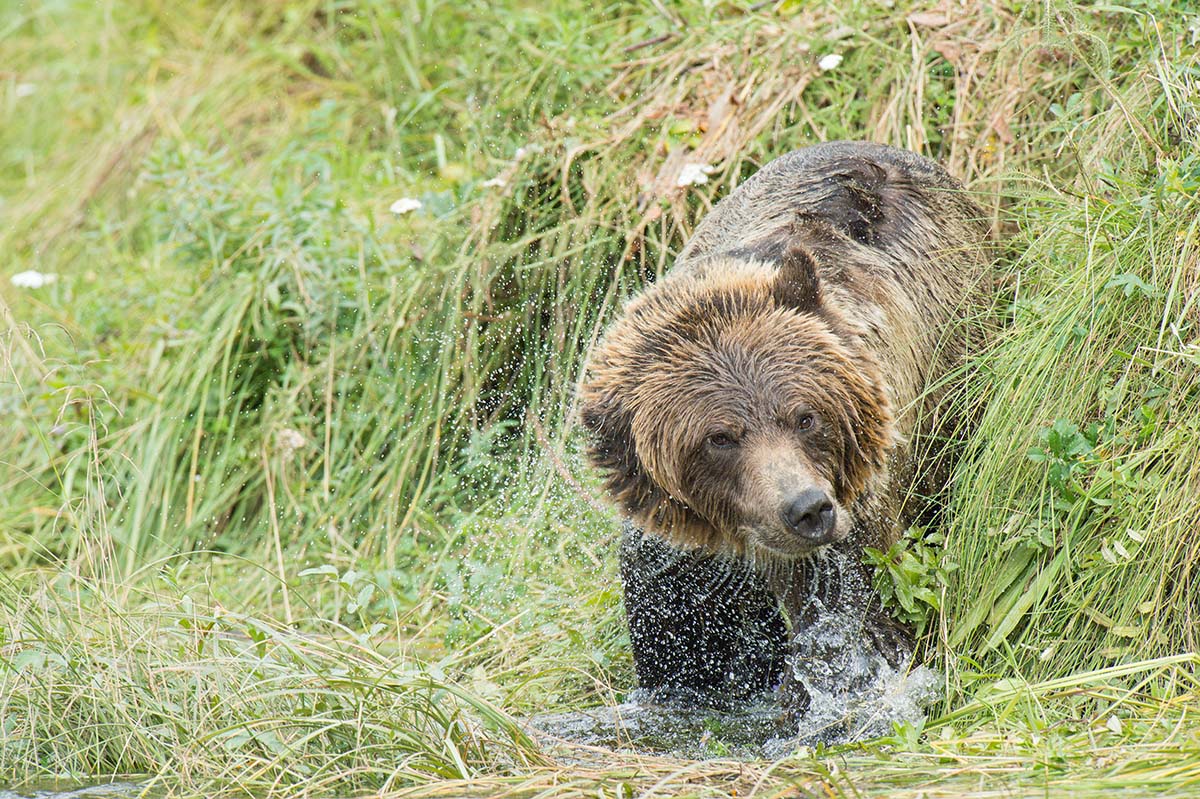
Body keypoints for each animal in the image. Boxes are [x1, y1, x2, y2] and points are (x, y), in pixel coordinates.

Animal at [578, 139, 984, 705]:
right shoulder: (681, 559)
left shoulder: (861, 512)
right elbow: (676, 639)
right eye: (719, 438)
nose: (807, 509)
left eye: (805, 416)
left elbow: (868, 611)